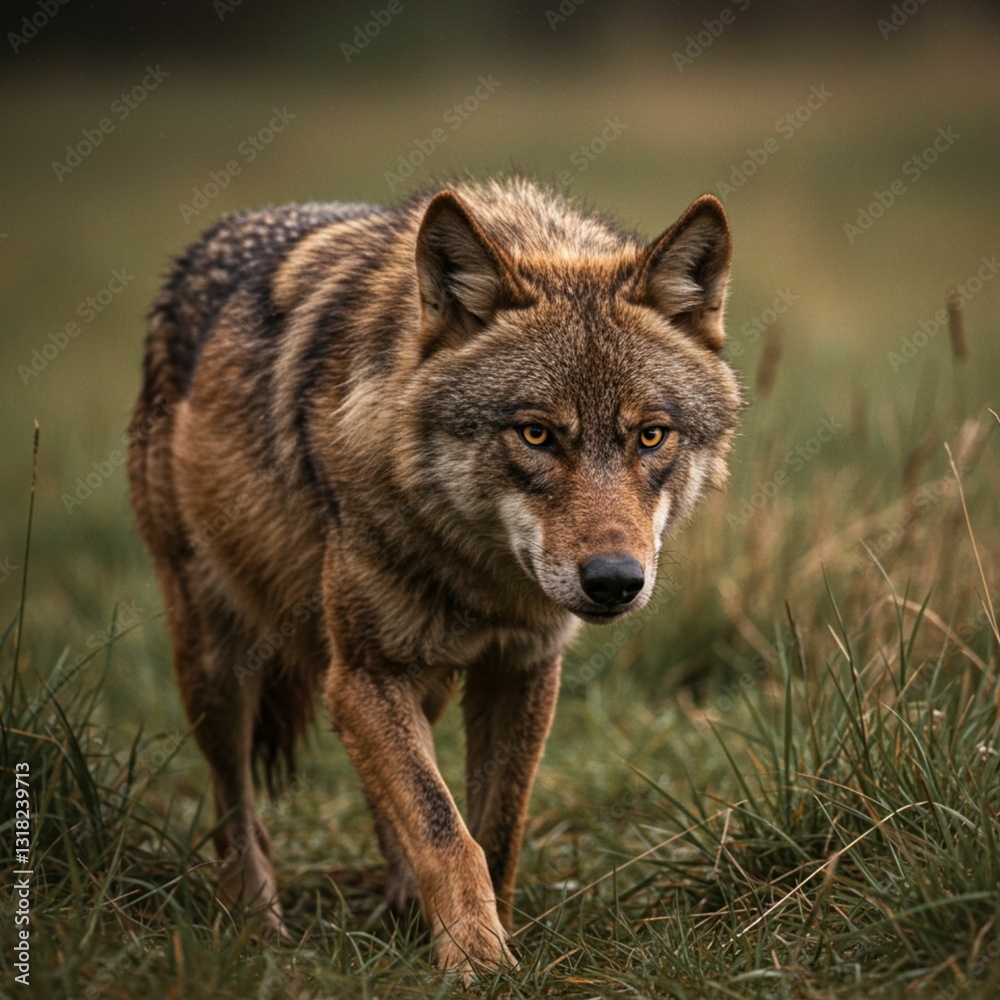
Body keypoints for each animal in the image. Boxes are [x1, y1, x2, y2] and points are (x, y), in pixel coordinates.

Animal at [127, 176, 743, 976]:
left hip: (409, 681)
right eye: (536, 433)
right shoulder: (365, 673)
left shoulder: (521, 670)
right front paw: (477, 960)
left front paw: (487, 938)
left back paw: (399, 907)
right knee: (237, 815)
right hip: (219, 666)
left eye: (650, 436)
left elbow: (494, 831)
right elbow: (446, 832)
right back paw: (259, 931)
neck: (481, 578)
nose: (614, 581)